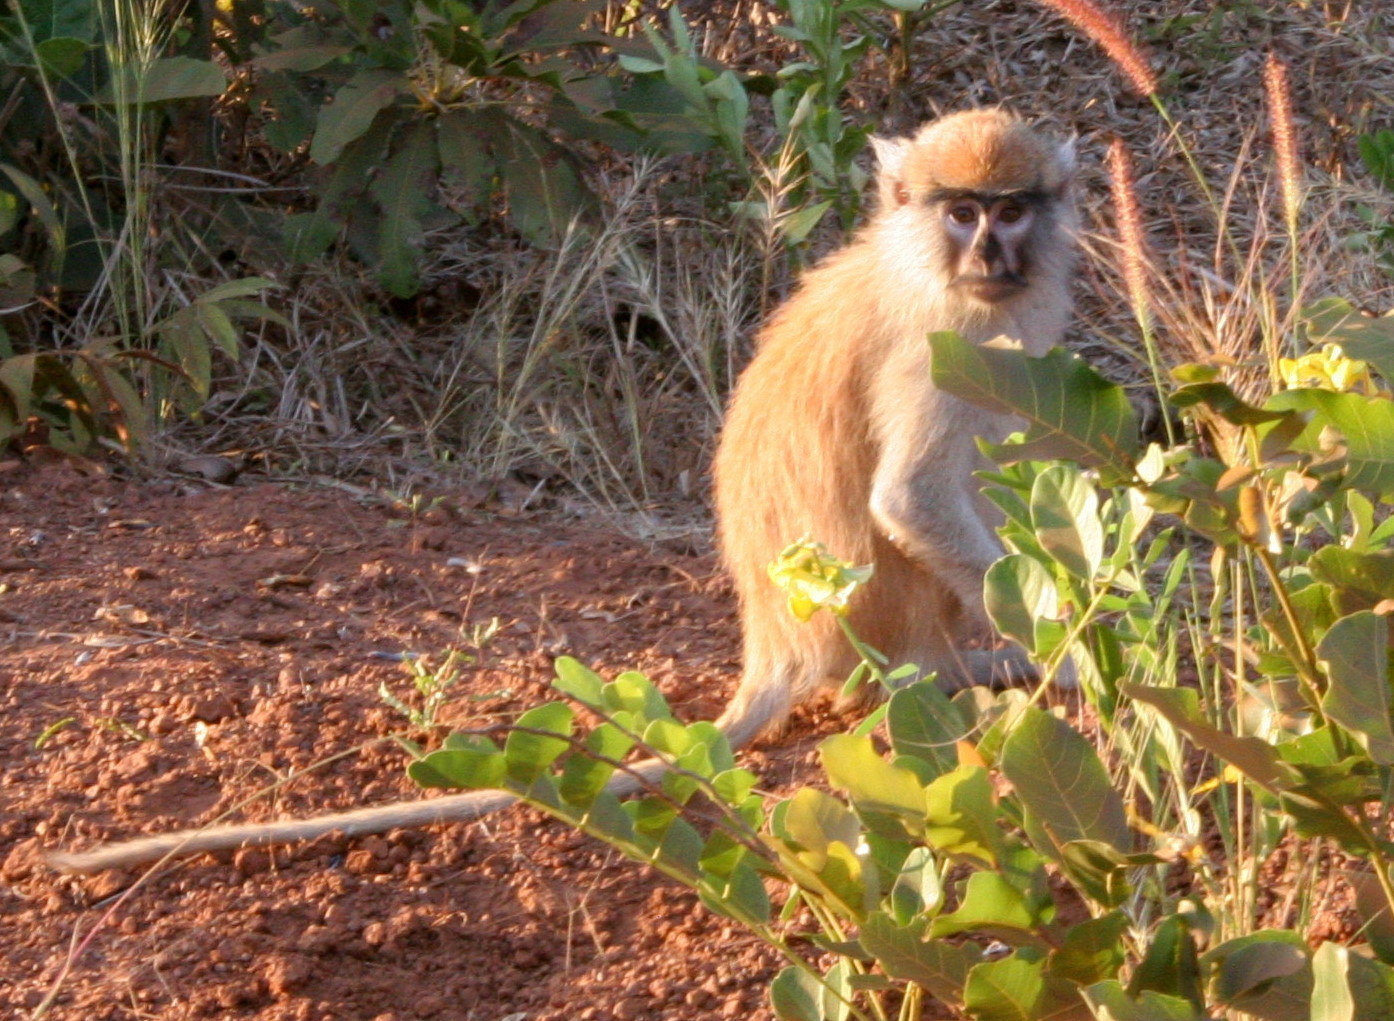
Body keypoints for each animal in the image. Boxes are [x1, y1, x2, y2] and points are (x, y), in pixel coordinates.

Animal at [51, 111, 1076, 875]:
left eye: (1012, 209)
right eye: (962, 211)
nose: (991, 254)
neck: (916, 257)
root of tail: (778, 644)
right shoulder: (944, 340)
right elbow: (911, 499)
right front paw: (1067, 648)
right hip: (890, 618)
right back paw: (964, 668)